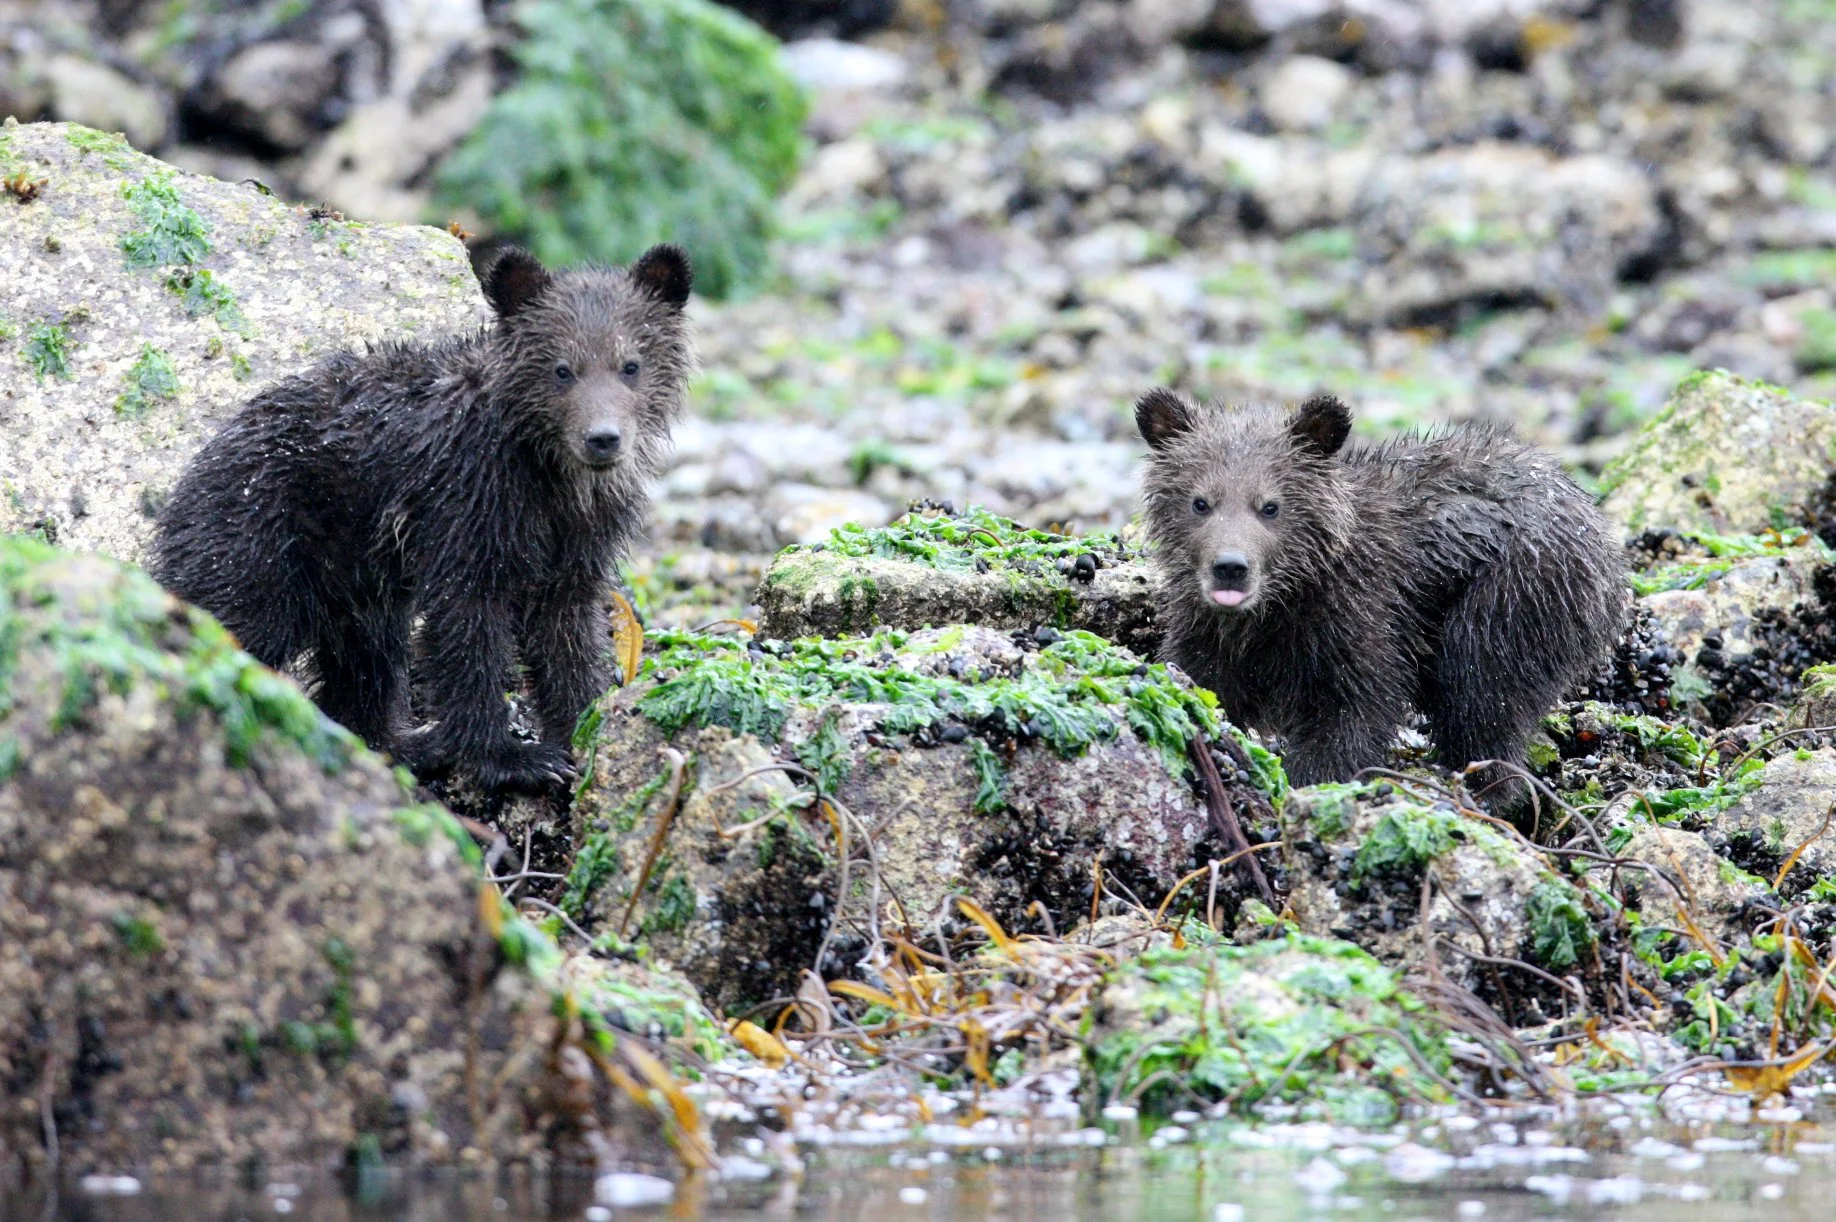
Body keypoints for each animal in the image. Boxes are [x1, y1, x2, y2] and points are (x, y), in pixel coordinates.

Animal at [150, 244, 694, 795]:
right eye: (563, 369)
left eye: (631, 364)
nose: (602, 438)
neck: (549, 475)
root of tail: (191, 473)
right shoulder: (465, 500)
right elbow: (466, 624)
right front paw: (515, 757)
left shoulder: (580, 531)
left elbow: (566, 622)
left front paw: (584, 723)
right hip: (259, 535)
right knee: (238, 617)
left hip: (351, 573)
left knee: (365, 656)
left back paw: (398, 743)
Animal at [1135, 388, 1626, 801]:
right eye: (1200, 502)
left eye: (1270, 506)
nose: (1231, 567)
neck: (1284, 601)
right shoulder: (1212, 634)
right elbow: (1201, 682)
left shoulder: (1362, 616)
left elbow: (1356, 711)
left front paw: (1308, 781)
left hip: (1518, 592)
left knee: (1482, 690)